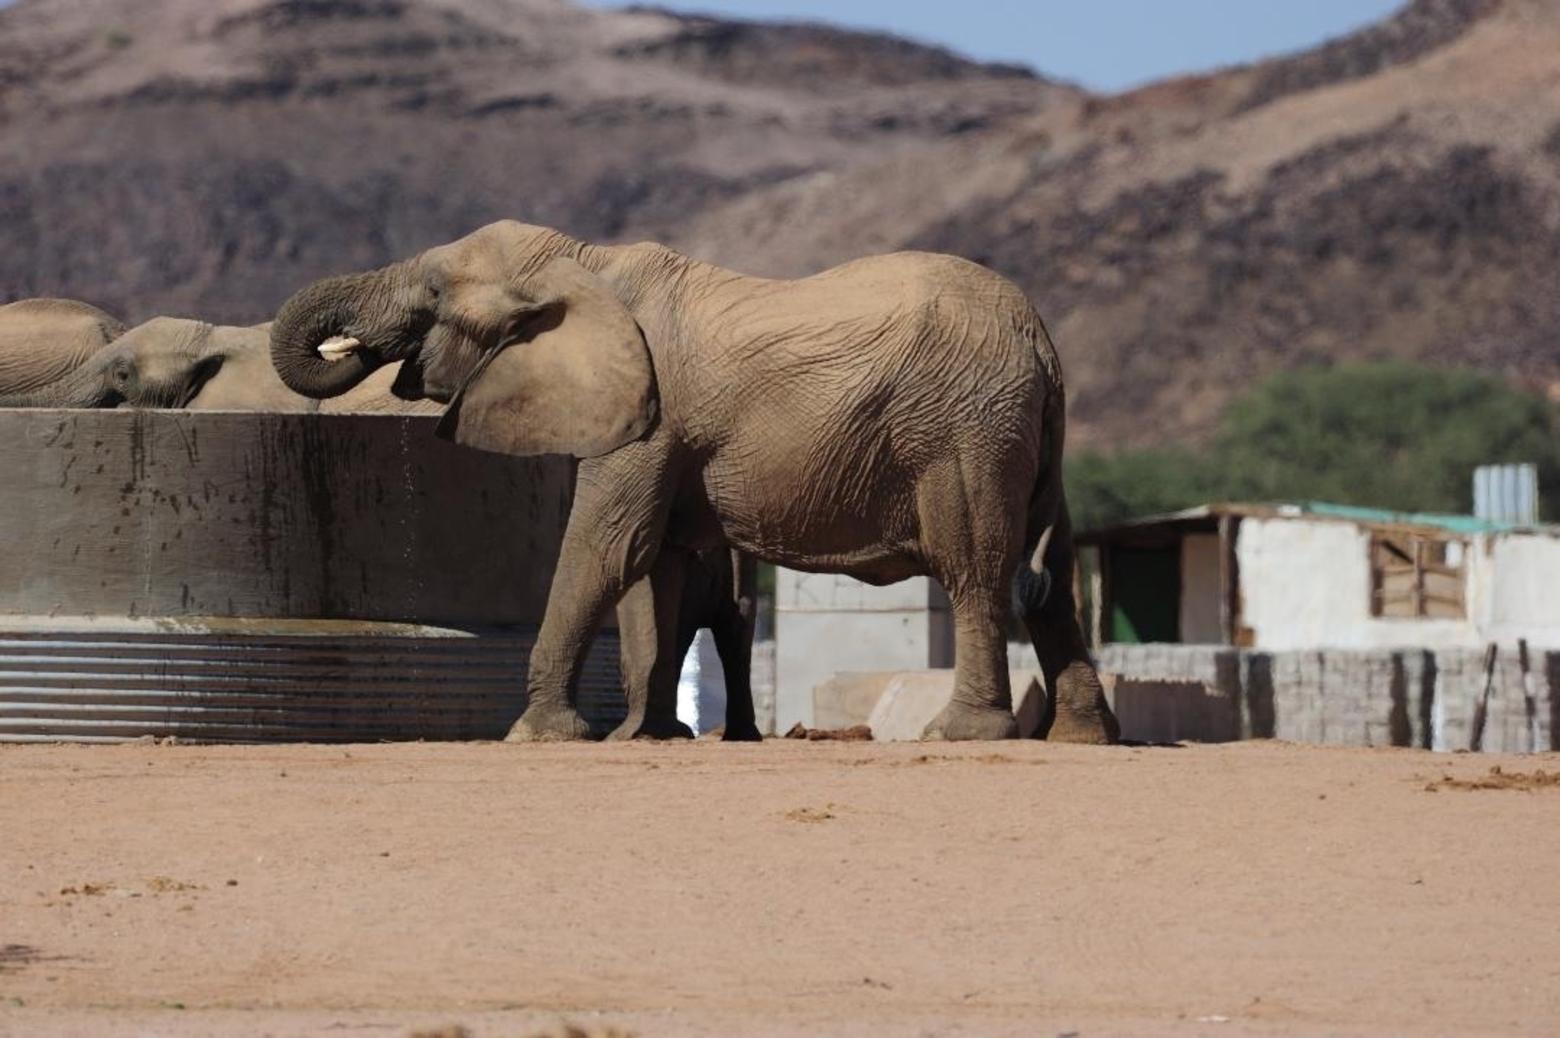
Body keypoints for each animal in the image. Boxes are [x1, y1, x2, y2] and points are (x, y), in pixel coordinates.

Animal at [271, 218, 1123, 739]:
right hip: (1020, 434)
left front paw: (541, 735)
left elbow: (610, 546)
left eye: (434, 294)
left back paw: (960, 733)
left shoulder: (649, 420)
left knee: (977, 568)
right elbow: (658, 567)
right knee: (1052, 578)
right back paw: (1084, 739)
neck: (584, 263)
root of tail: (1040, 340)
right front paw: (643, 736)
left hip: (963, 433)